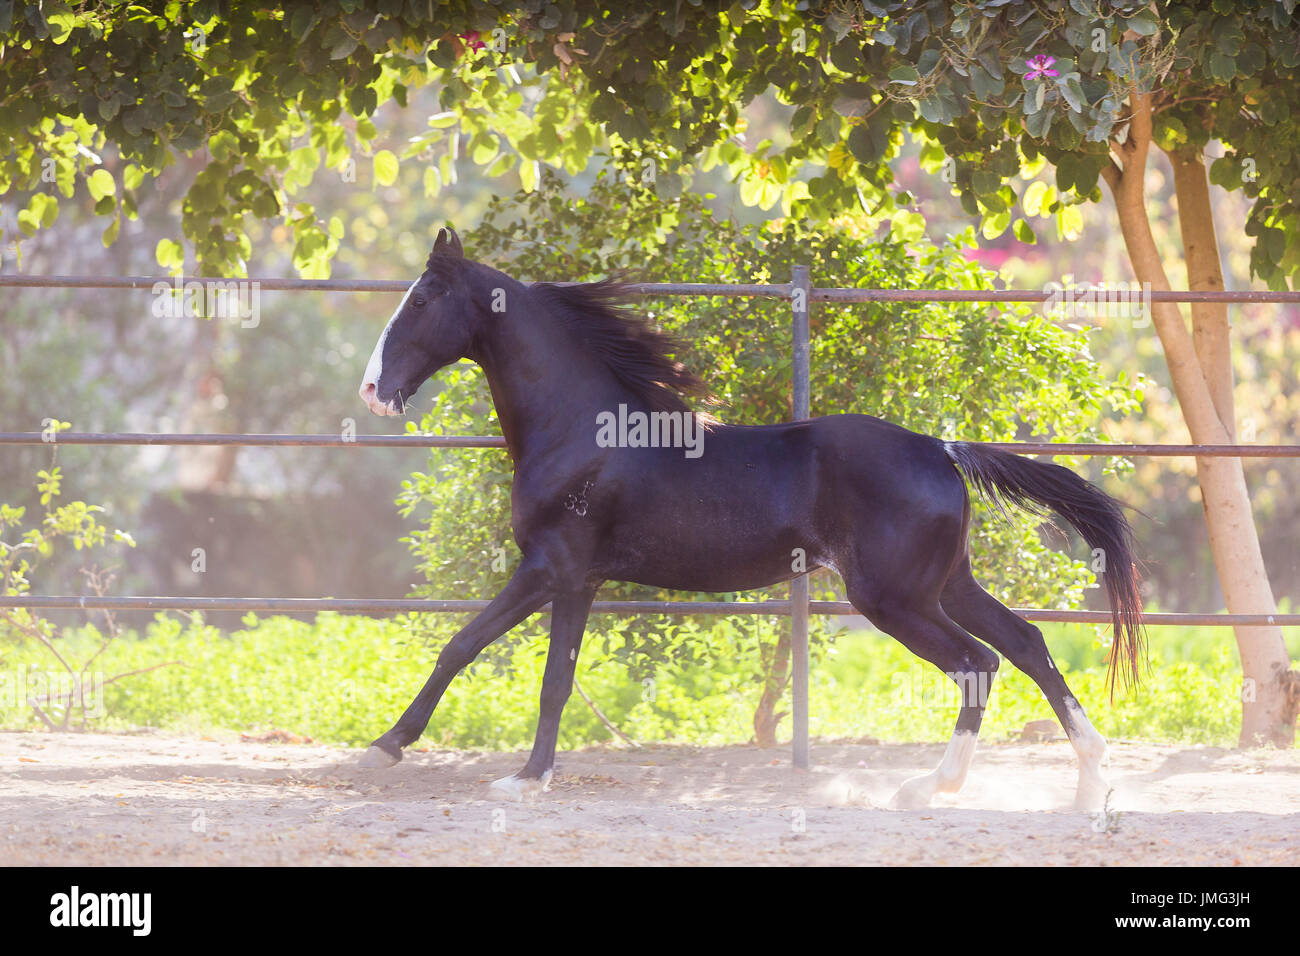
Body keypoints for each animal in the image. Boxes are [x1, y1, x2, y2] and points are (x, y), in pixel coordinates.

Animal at [356, 227, 1138, 811]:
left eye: (423, 297)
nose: (372, 391)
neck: (583, 430)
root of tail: (942, 450)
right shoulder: (579, 581)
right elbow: (537, 672)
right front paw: (509, 770)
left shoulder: (552, 568)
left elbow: (473, 649)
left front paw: (413, 752)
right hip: (946, 586)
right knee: (1027, 644)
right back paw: (1090, 785)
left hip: (893, 599)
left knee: (978, 663)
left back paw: (929, 787)